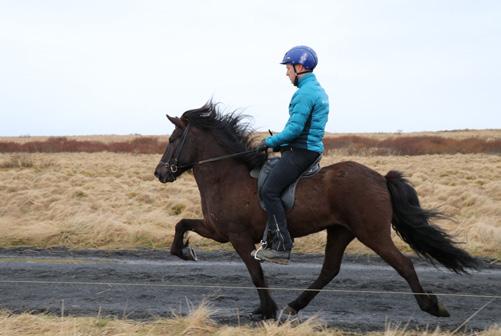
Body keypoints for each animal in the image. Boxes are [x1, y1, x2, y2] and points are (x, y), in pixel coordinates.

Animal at [152, 101, 476, 320]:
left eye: (172, 140)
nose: (160, 172)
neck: (227, 175)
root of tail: (380, 178)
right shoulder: (217, 230)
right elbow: (182, 224)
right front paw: (185, 251)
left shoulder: (236, 236)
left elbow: (256, 273)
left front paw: (266, 310)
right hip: (341, 231)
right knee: (329, 270)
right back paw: (294, 306)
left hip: (372, 233)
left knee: (403, 264)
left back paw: (432, 305)